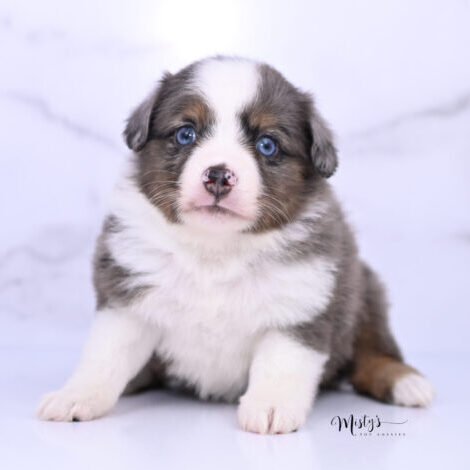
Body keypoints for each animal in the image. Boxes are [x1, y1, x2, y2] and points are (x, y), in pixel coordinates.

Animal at [36, 57, 434, 436]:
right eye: (185, 134)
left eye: (267, 144)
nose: (217, 176)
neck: (216, 249)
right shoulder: (129, 297)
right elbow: (105, 356)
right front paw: (75, 396)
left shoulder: (300, 303)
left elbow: (282, 363)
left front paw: (271, 408)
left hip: (366, 291)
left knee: (372, 352)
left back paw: (407, 382)